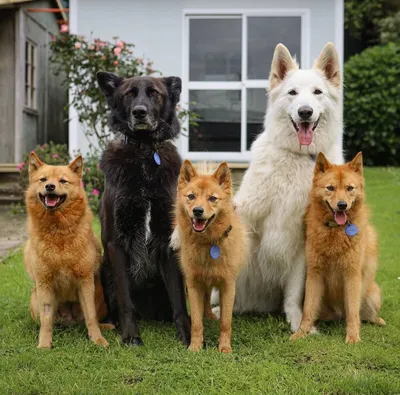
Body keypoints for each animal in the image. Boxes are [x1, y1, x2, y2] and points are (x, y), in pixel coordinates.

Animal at [24, 152, 109, 350]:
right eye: (43, 179)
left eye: (63, 181)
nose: (50, 186)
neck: (58, 231)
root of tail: (70, 320)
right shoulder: (44, 283)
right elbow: (47, 319)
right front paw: (44, 344)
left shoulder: (85, 281)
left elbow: (91, 316)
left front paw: (97, 339)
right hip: (35, 298)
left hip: (100, 297)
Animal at [96, 72, 191, 348]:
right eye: (129, 94)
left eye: (154, 93)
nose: (139, 112)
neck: (145, 153)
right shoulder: (116, 242)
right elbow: (125, 300)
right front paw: (130, 335)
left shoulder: (169, 239)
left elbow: (179, 301)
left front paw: (188, 335)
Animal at [177, 162, 248, 354]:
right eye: (191, 196)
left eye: (212, 198)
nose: (197, 211)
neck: (208, 243)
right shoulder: (193, 285)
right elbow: (196, 323)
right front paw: (195, 346)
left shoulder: (228, 286)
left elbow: (226, 322)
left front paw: (224, 347)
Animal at [290, 153, 384, 344]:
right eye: (330, 188)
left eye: (350, 188)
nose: (342, 205)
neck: (335, 231)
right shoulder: (314, 274)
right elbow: (308, 309)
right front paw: (302, 332)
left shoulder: (352, 275)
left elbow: (353, 312)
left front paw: (353, 337)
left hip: (373, 296)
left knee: (364, 316)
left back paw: (377, 320)